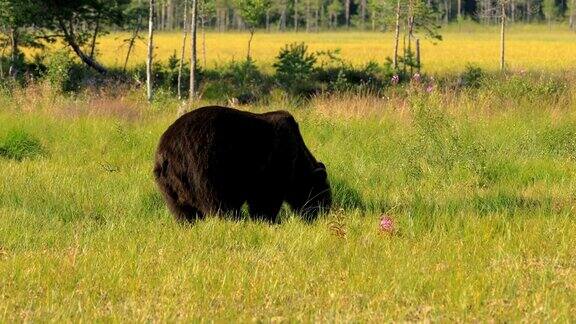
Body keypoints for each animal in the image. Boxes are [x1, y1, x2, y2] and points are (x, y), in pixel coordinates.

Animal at [154, 106, 332, 223]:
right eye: (323, 196)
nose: (324, 214)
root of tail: (166, 153)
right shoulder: (275, 160)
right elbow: (267, 196)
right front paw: (268, 220)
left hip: (168, 184)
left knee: (181, 211)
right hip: (204, 167)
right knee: (217, 203)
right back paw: (232, 220)